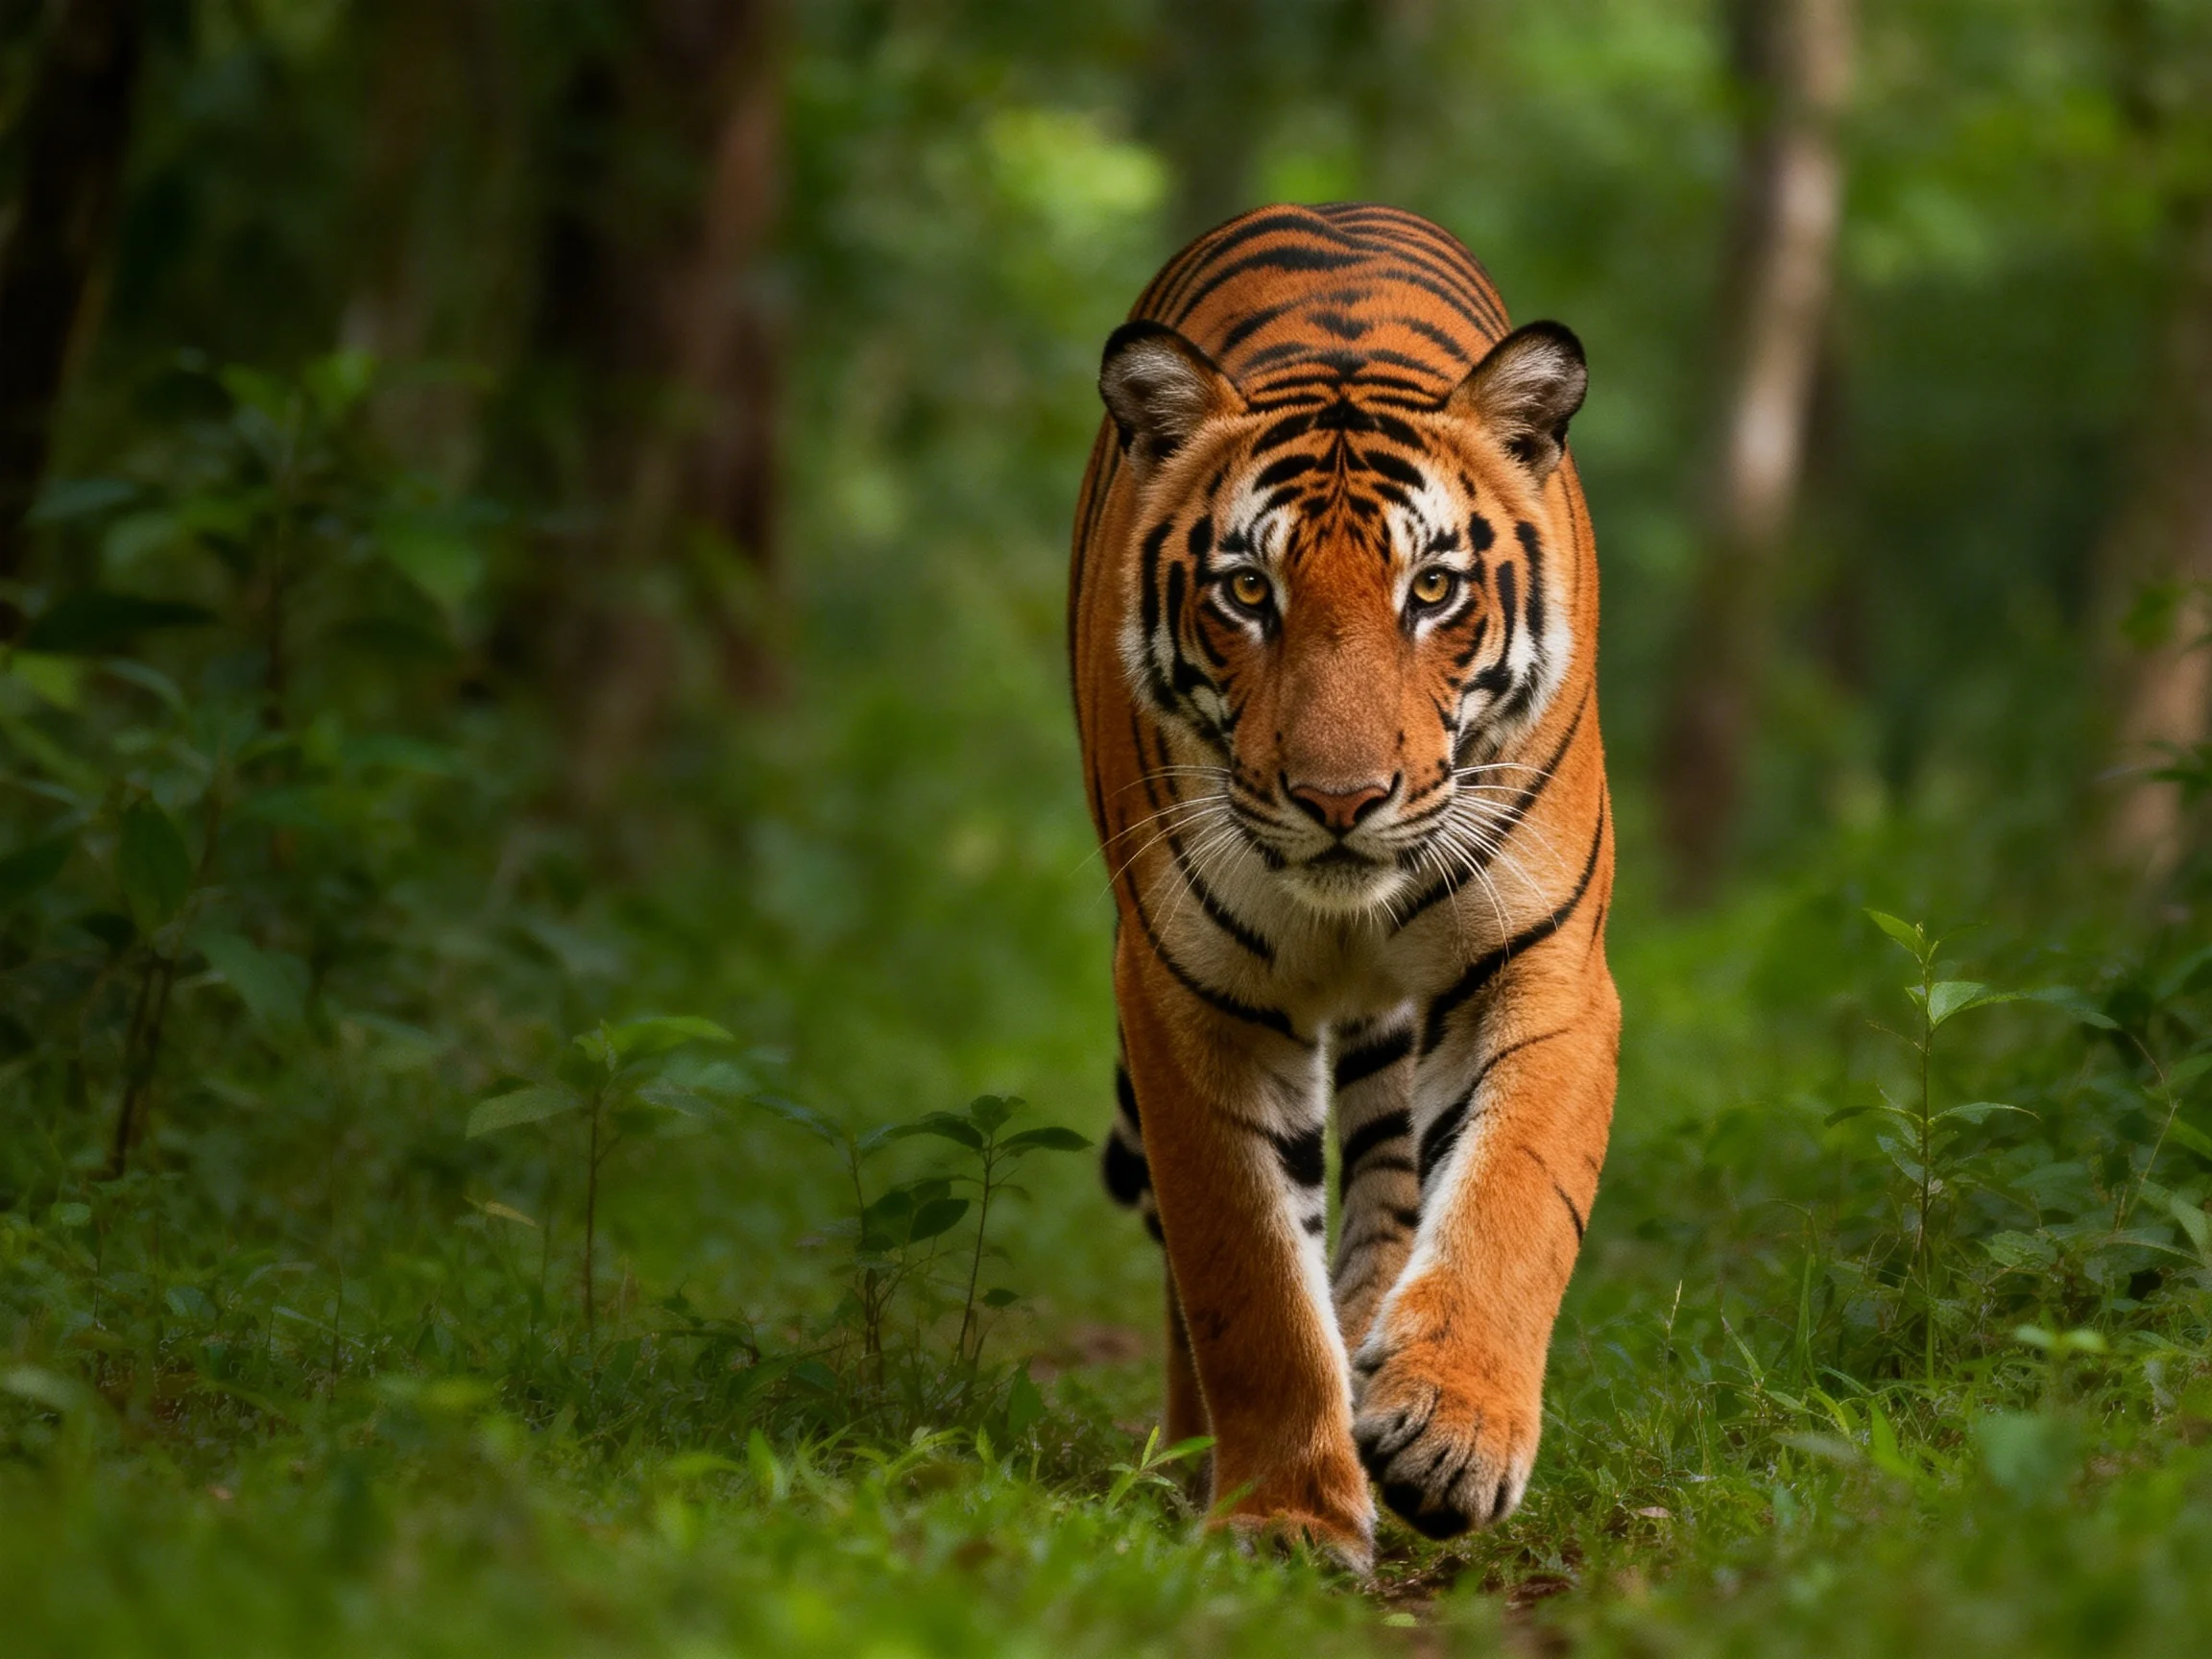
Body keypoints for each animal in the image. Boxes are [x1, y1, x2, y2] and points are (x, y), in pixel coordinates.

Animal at [1069, 203, 1618, 1569]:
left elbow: (1511, 1202)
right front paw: (1283, 1515)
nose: (1339, 799)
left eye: (1432, 589)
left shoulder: (1547, 964)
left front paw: (1451, 1436)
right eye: (1246, 592)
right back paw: (1200, 1455)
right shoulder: (1185, 996)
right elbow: (1246, 1278)